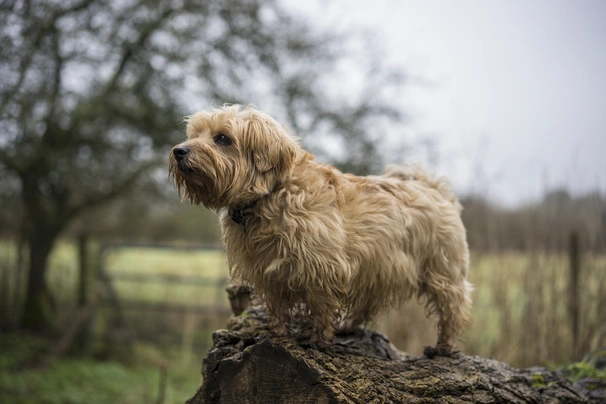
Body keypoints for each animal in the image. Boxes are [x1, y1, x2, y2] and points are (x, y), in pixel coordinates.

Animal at [171, 105, 476, 356]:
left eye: (223, 138)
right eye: (195, 134)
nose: (179, 151)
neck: (270, 194)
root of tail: (432, 188)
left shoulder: (323, 268)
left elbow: (321, 306)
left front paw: (317, 339)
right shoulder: (268, 272)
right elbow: (277, 306)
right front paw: (278, 333)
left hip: (441, 270)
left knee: (453, 306)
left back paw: (444, 346)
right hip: (379, 267)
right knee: (369, 303)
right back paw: (349, 325)